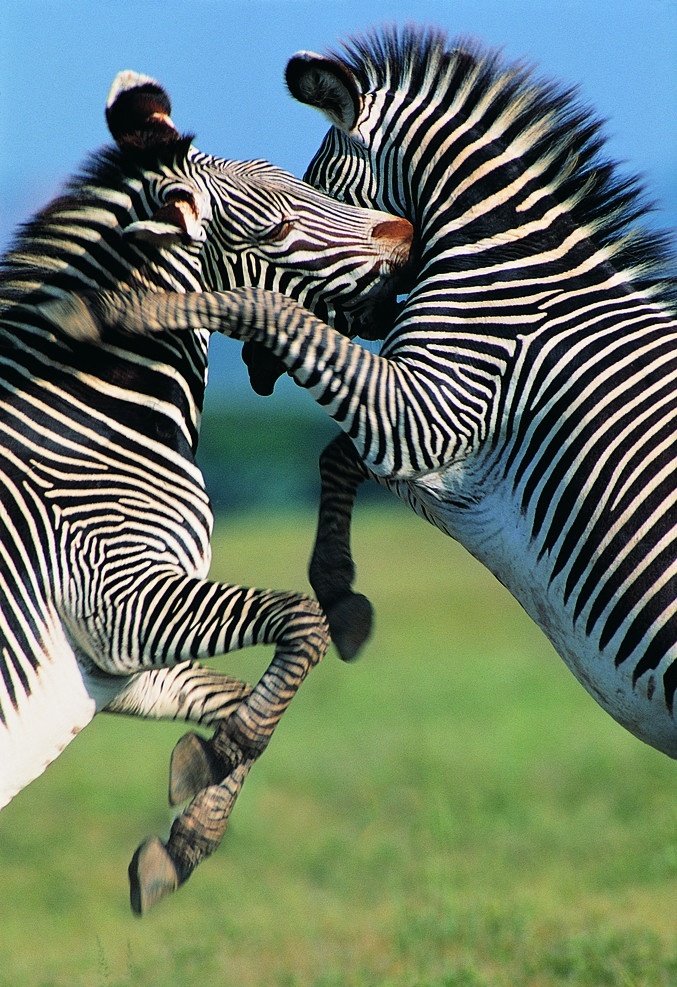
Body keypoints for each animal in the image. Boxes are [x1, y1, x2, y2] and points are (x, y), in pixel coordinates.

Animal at [0, 69, 412, 916]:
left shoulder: (110, 663)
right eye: (277, 226)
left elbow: (235, 695)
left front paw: (186, 831)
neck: (91, 423)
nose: (412, 233)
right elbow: (303, 622)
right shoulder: (114, 596)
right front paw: (217, 758)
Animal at [88, 25, 677, 772]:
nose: (255, 369)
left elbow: (266, 318)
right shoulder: (431, 446)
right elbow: (336, 455)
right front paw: (340, 595)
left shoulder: (429, 413)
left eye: (313, 192)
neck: (503, 279)